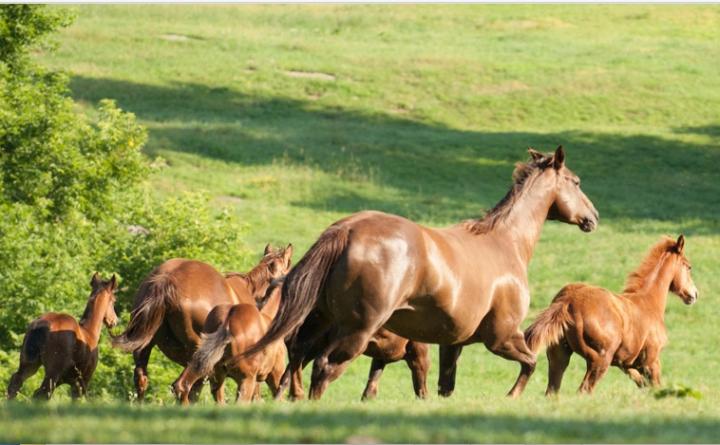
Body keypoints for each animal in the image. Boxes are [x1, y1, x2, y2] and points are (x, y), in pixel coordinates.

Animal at [243, 146, 599, 400]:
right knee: (324, 368)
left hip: (320, 321)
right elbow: (530, 363)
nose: (593, 217)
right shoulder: (502, 337)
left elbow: (444, 388)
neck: (505, 243)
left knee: (297, 360)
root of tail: (346, 230)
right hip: (355, 330)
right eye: (577, 182)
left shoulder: (452, 343)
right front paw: (512, 397)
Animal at [524, 235, 698, 395]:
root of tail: (568, 301)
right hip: (600, 360)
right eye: (688, 267)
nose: (694, 294)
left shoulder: (626, 364)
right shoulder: (651, 361)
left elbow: (643, 385)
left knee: (552, 390)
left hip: (558, 355)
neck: (647, 302)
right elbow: (656, 388)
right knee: (584, 390)